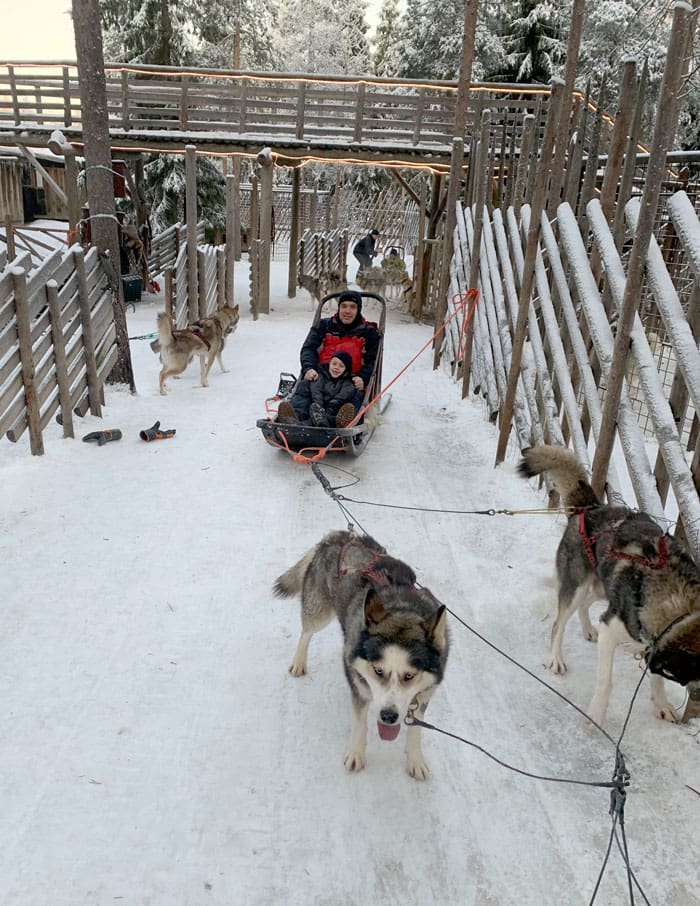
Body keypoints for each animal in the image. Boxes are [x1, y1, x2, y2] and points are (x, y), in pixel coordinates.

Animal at [274, 528, 448, 776]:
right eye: (378, 670)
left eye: (410, 675)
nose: (388, 716)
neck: (401, 609)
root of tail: (342, 535)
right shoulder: (357, 684)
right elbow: (359, 722)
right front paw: (356, 752)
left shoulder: (424, 694)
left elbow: (416, 728)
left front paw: (415, 759)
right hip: (319, 612)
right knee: (306, 631)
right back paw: (299, 661)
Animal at [516, 446, 700, 728]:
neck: (678, 602)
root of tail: (590, 508)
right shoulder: (612, 629)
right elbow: (606, 681)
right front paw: (596, 715)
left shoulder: (650, 641)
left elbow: (656, 678)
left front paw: (662, 704)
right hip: (577, 585)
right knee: (559, 623)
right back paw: (556, 658)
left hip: (603, 588)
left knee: (586, 604)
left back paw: (587, 629)